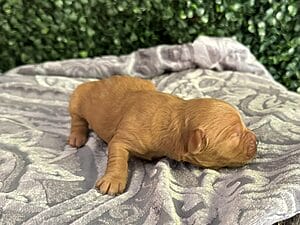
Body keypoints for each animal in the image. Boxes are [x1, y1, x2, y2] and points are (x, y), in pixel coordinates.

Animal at [68, 75, 258, 195]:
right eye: (234, 135)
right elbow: (117, 157)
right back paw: (77, 138)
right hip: (78, 96)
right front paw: (113, 181)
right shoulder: (123, 138)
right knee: (77, 119)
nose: (256, 141)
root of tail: (101, 81)